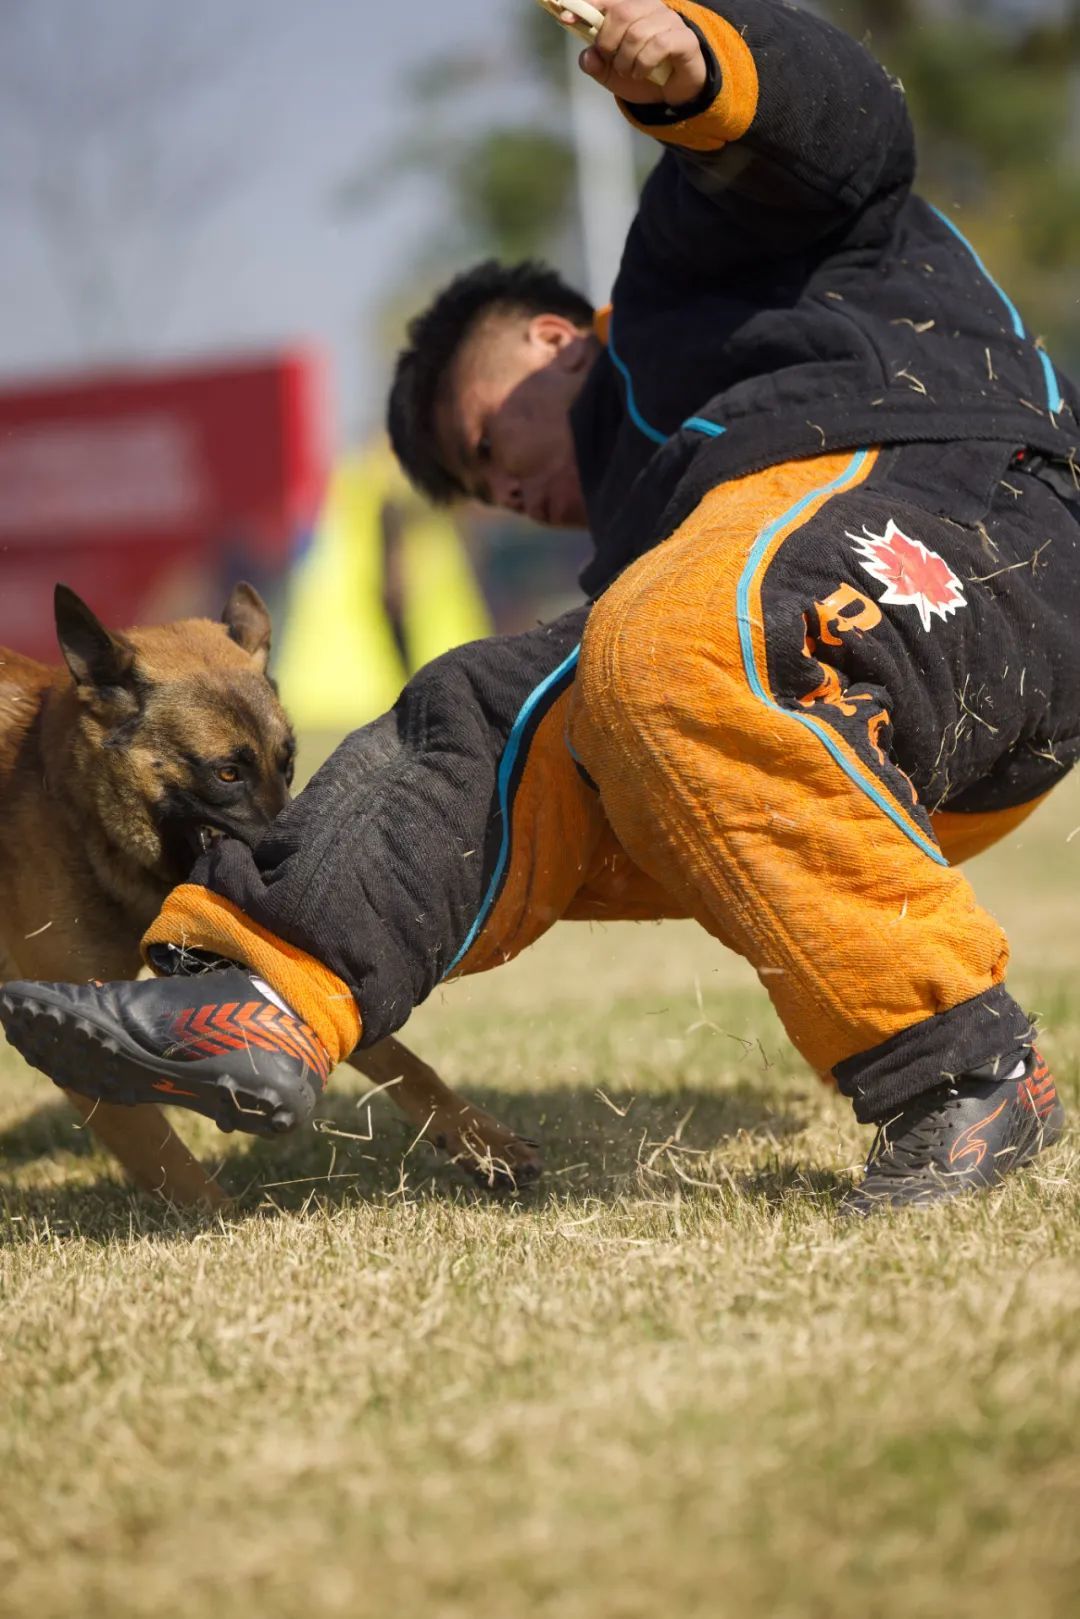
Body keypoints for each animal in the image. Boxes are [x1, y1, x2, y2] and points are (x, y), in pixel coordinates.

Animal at [0, 589, 540, 1198]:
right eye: (227, 773)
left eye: (287, 765)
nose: (290, 871)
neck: (73, 803)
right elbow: (174, 1167)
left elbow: (396, 1057)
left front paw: (479, 1139)